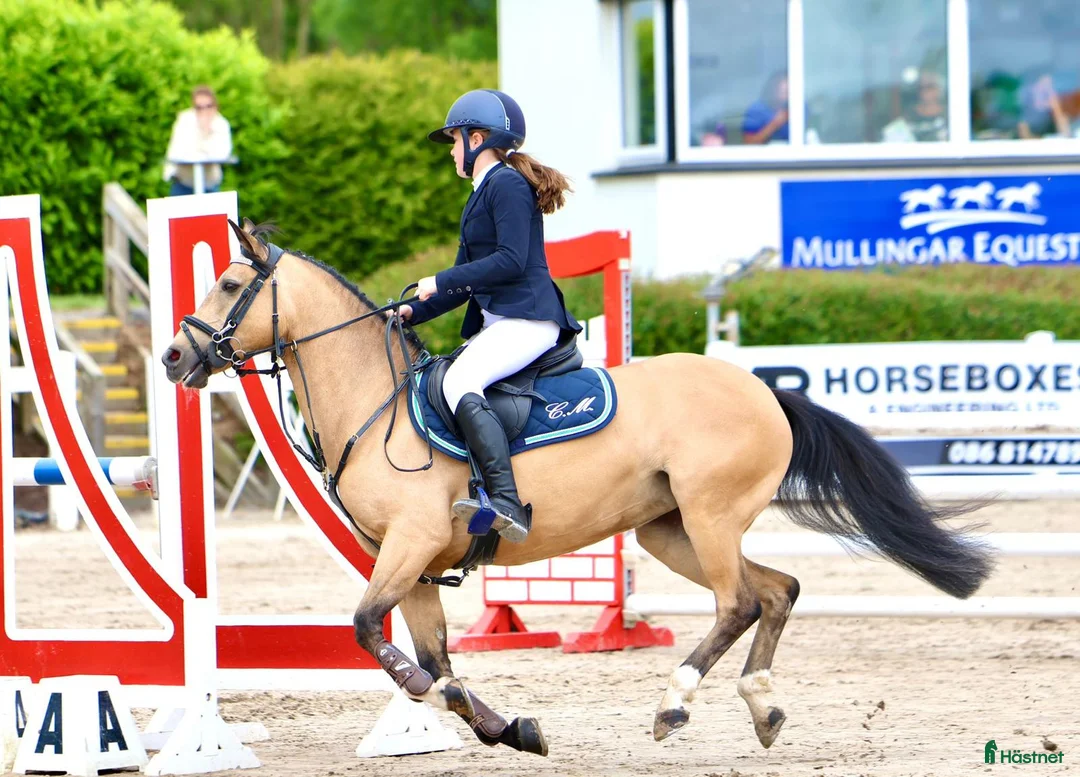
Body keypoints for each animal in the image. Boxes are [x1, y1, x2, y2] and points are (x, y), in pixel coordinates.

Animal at [161, 218, 995, 757]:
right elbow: (434, 659)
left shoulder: (411, 542)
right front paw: (506, 727)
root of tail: (763, 389)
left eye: (230, 282)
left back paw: (674, 703)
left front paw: (447, 702)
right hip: (672, 529)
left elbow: (372, 631)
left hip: (711, 516)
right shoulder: (417, 563)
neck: (378, 399)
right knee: (778, 589)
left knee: (740, 601)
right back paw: (762, 704)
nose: (173, 356)